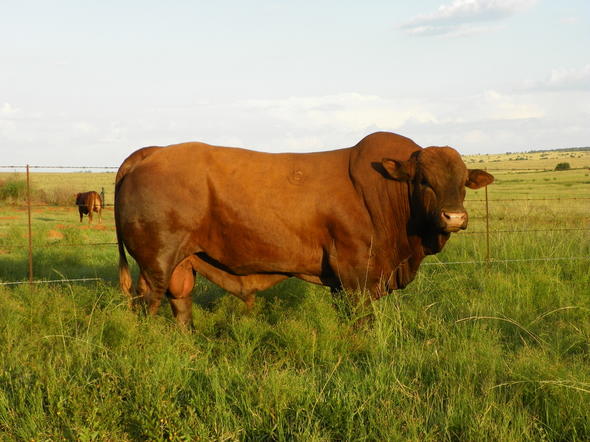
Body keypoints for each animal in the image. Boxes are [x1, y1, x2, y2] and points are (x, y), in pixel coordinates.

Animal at [114, 133, 494, 326]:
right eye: (423, 180)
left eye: (463, 181)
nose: (454, 217)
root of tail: (150, 153)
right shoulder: (356, 275)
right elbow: (360, 322)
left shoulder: (343, 281)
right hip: (156, 261)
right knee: (148, 301)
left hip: (182, 261)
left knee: (180, 300)